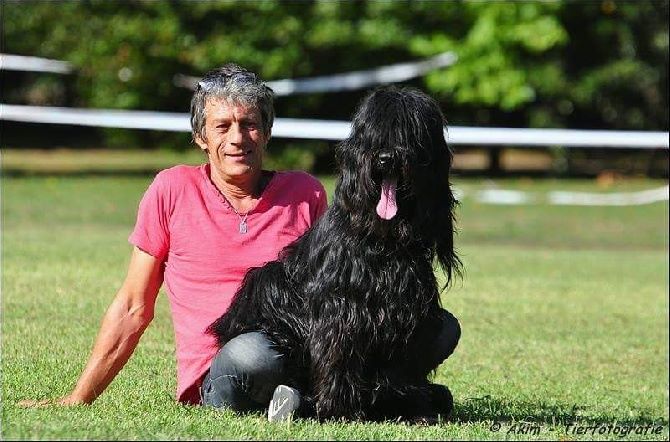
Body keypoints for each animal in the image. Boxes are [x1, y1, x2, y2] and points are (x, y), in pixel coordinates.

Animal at [210, 86, 462, 422]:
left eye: (410, 132)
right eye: (371, 131)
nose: (385, 158)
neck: (382, 240)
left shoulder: (408, 316)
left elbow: (402, 367)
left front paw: (407, 406)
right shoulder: (340, 309)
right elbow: (337, 354)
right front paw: (339, 409)